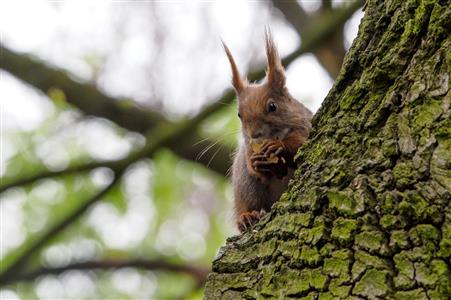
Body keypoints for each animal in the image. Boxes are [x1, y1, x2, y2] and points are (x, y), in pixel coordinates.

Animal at [222, 31, 314, 232]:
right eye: (239, 114)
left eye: (272, 106)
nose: (254, 134)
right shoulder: (248, 146)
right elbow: (253, 165)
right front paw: (256, 162)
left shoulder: (306, 126)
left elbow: (300, 144)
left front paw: (279, 145)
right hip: (245, 184)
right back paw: (247, 217)